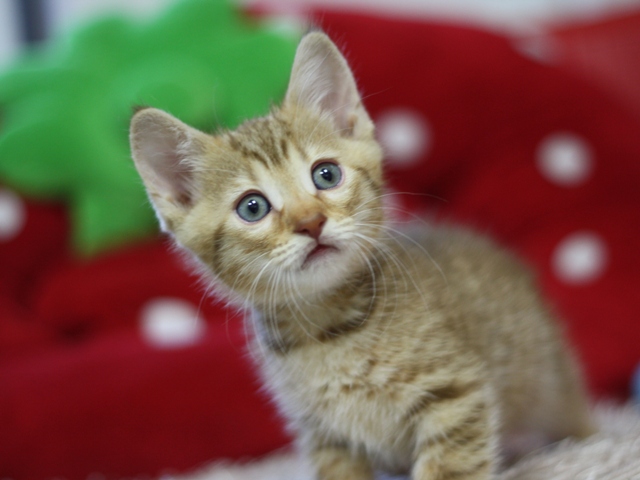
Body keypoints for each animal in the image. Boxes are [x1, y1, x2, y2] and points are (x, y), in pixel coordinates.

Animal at [130, 31, 596, 478]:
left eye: (326, 174)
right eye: (252, 207)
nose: (311, 222)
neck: (327, 331)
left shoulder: (455, 394)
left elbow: (449, 469)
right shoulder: (325, 435)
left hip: (552, 384)